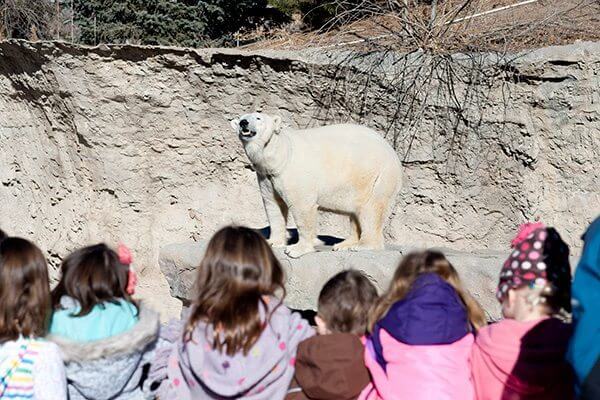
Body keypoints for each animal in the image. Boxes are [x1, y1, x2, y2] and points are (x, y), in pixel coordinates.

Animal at [230, 111, 404, 260]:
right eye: (242, 118)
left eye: (258, 118)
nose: (244, 123)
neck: (281, 154)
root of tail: (393, 153)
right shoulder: (266, 177)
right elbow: (273, 206)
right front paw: (272, 242)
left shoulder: (294, 172)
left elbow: (302, 208)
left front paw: (296, 250)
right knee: (356, 213)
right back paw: (344, 245)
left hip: (378, 177)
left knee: (371, 210)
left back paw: (363, 245)